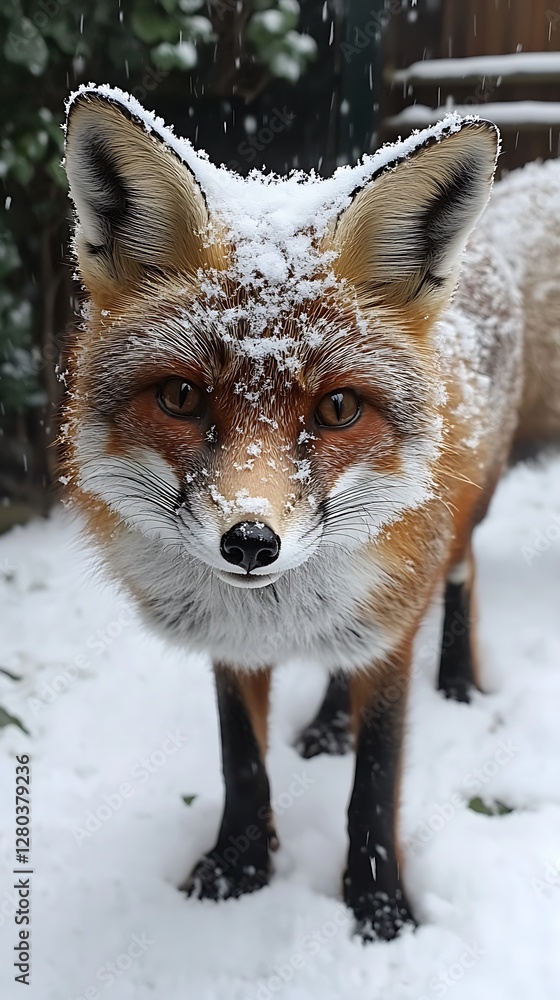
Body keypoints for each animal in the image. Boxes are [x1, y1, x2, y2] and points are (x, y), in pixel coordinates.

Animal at [61, 84, 560, 942]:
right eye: (181, 396)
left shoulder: (393, 624)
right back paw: (328, 722)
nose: (250, 542)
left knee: (463, 573)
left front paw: (378, 904)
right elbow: (243, 762)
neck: (277, 613)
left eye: (336, 409)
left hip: (464, 520)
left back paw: (458, 680)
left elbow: (376, 780)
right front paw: (237, 869)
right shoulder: (232, 641)